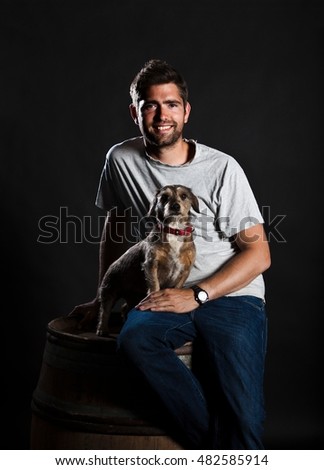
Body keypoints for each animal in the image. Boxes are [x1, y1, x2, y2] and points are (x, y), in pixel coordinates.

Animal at [95, 185, 199, 336]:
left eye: (184, 196)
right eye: (164, 197)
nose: (175, 206)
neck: (173, 230)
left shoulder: (185, 269)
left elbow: (178, 286)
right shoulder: (151, 264)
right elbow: (154, 285)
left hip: (132, 297)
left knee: (124, 308)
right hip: (109, 289)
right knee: (105, 310)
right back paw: (102, 329)